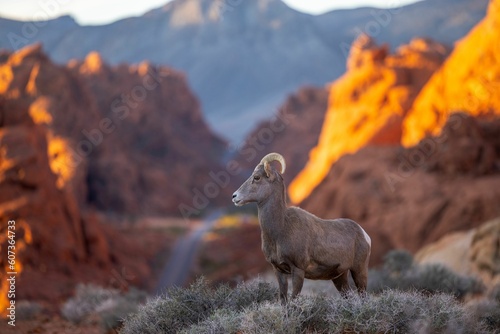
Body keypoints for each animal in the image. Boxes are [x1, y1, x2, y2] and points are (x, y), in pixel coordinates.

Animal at [232, 154, 370, 302]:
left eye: (257, 177)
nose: (234, 196)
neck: (280, 230)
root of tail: (364, 234)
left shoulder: (298, 270)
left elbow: (293, 299)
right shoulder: (279, 271)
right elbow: (283, 300)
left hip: (359, 270)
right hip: (340, 277)